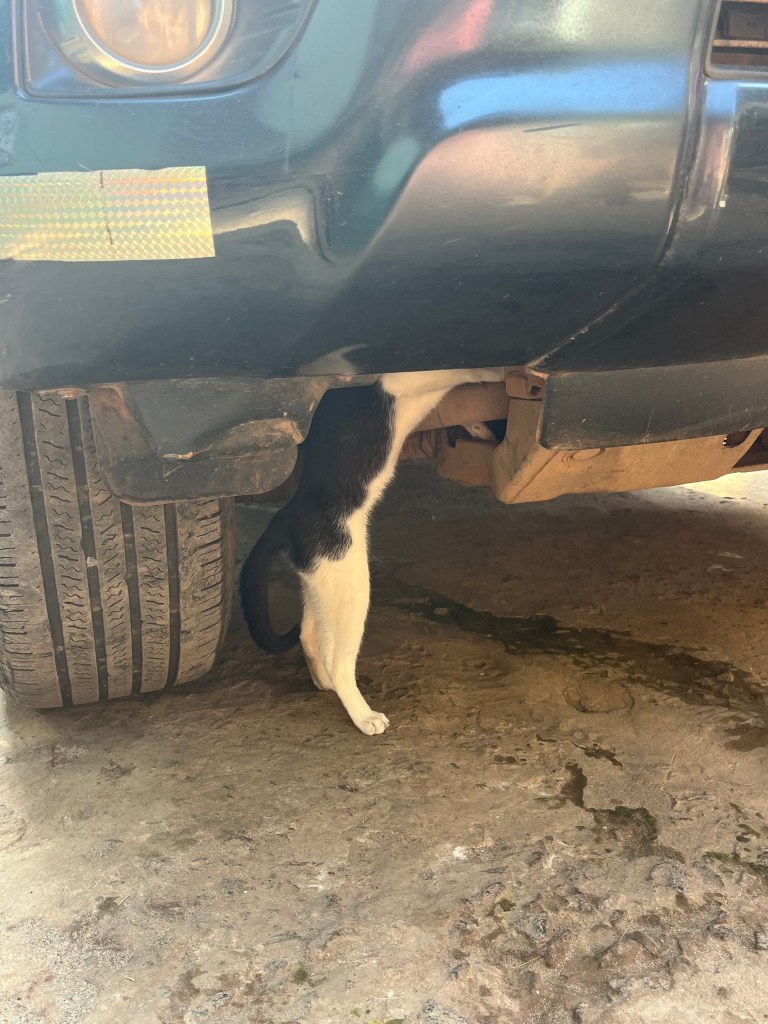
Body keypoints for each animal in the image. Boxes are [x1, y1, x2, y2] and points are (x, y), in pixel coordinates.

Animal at [240, 368, 505, 735]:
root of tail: (287, 516)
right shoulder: (397, 380)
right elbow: (459, 370)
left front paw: (481, 426)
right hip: (351, 582)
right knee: (338, 660)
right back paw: (363, 715)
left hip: (323, 581)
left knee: (310, 636)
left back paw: (325, 683)